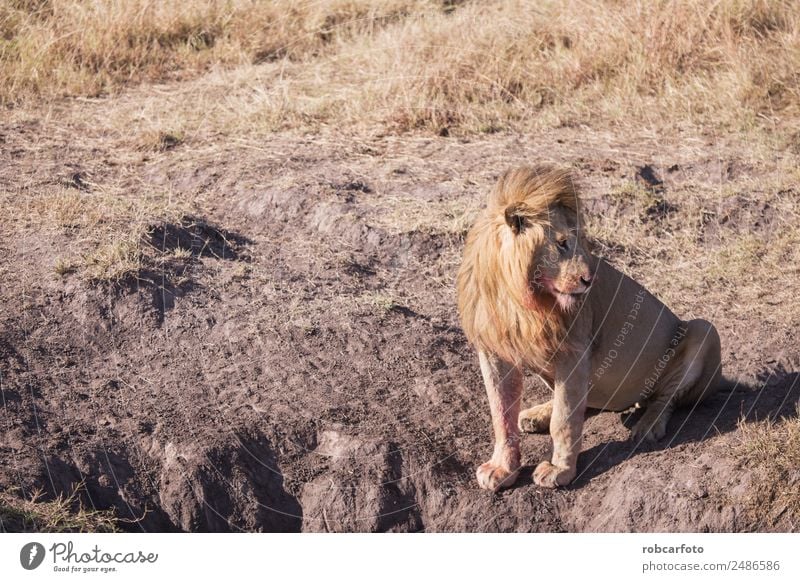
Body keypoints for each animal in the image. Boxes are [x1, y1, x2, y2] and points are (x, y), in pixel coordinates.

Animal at [456, 165, 724, 492]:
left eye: (583, 243)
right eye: (561, 244)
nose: (589, 280)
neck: (519, 298)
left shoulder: (573, 350)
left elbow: (564, 420)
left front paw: (560, 470)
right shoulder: (493, 350)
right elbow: (500, 411)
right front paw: (502, 468)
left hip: (704, 330)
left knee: (665, 399)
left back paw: (648, 426)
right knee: (587, 401)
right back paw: (536, 414)